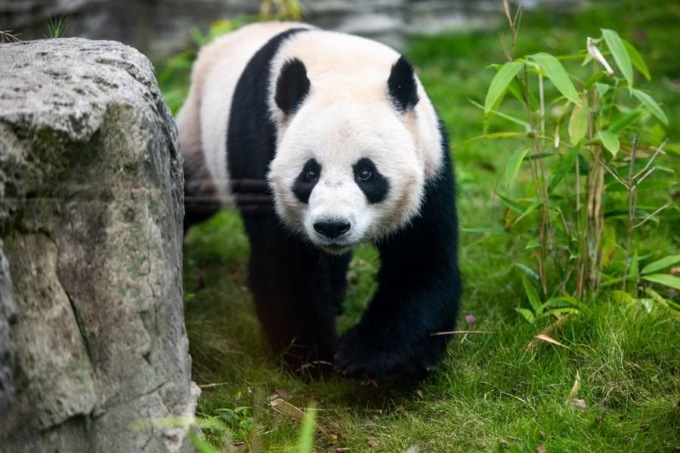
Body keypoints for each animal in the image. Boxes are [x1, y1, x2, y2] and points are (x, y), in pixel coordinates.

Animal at [178, 22, 461, 379]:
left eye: (366, 172)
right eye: (309, 173)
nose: (332, 226)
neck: (343, 69)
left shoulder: (430, 167)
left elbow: (421, 260)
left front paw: (375, 358)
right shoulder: (265, 151)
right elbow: (285, 264)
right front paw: (313, 356)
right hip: (198, 135)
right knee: (191, 196)